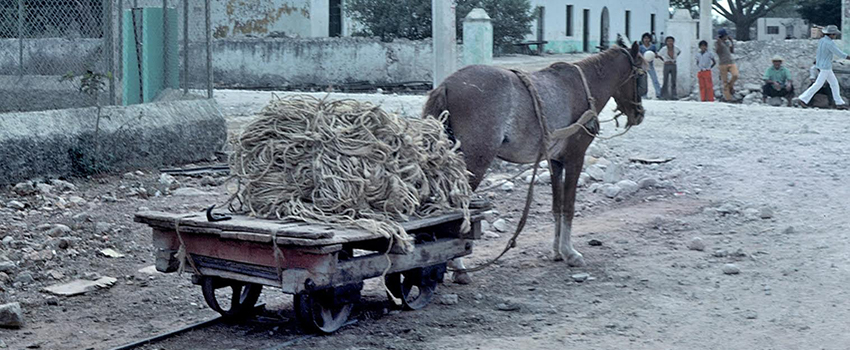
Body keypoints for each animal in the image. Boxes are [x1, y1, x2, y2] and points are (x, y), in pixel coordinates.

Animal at [420, 37, 644, 282]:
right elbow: (569, 206)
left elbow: (557, 206)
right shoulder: (575, 158)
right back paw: (459, 266)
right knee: (458, 207)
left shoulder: (556, 161)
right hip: (473, 164)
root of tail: (447, 84)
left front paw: (557, 251)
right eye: (641, 74)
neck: (584, 87)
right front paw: (570, 253)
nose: (639, 114)